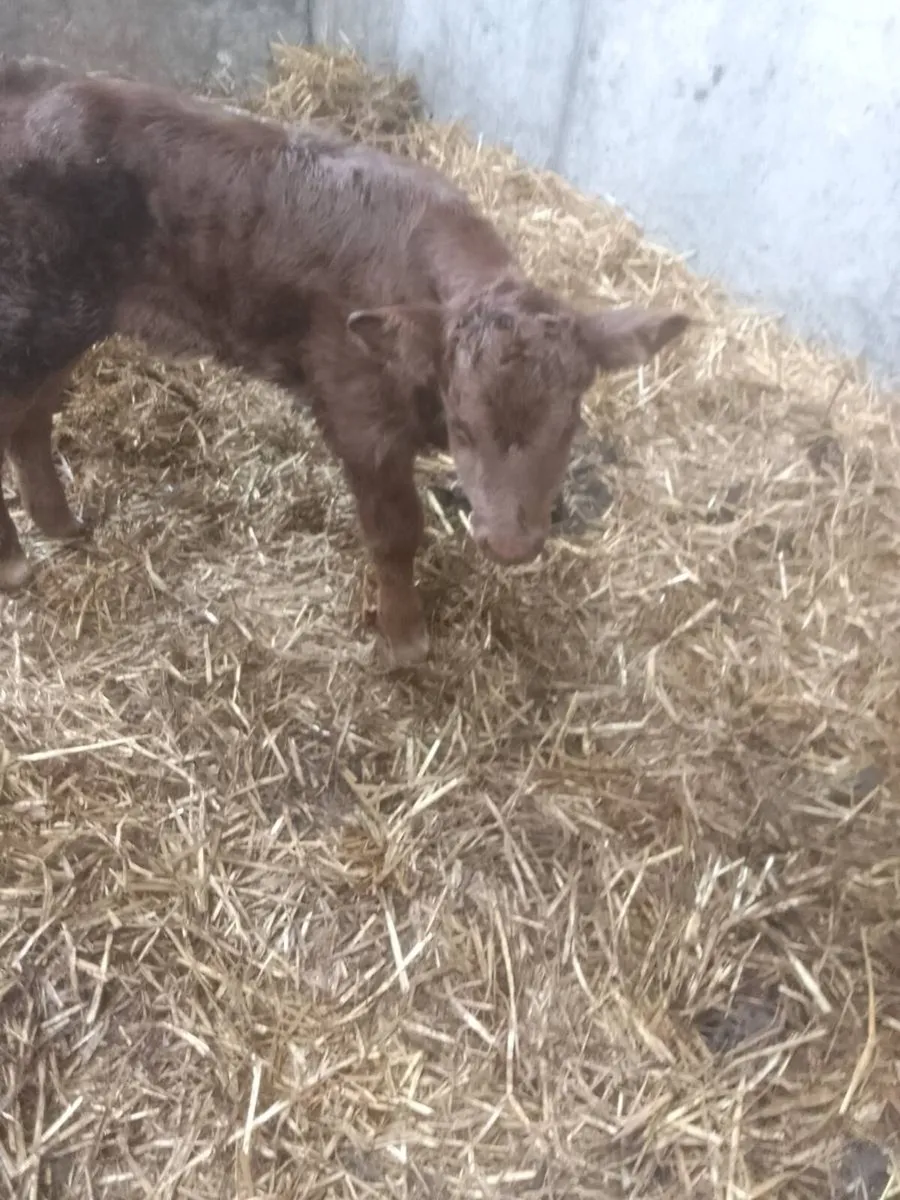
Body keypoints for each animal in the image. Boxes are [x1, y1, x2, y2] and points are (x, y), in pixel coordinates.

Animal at [0, 57, 690, 665]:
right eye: (464, 428)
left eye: (569, 426)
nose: (511, 544)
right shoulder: (359, 413)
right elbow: (396, 531)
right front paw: (404, 639)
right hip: (36, 317)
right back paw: (15, 561)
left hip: (65, 325)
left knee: (28, 423)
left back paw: (59, 524)